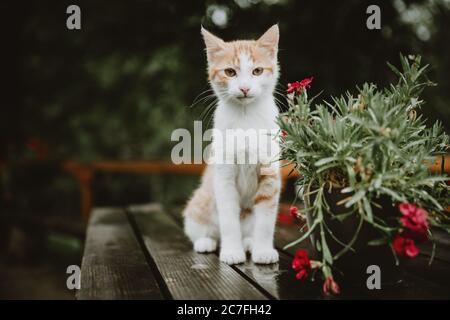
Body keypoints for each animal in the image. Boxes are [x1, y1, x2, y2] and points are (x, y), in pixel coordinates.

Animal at [183, 25, 282, 264]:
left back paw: (249, 242)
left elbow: (266, 221)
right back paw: (206, 242)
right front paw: (231, 251)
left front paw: (263, 250)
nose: (245, 88)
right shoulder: (224, 177)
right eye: (230, 72)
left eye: (257, 71)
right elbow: (228, 220)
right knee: (201, 228)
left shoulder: (270, 176)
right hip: (200, 203)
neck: (246, 118)